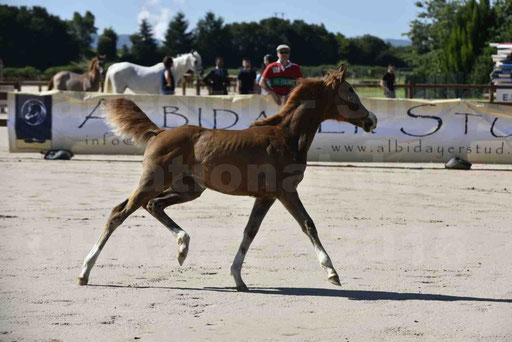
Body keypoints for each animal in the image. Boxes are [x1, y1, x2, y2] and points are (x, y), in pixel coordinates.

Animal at [79, 65, 376, 292]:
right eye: (351, 94)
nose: (372, 119)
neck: (286, 136)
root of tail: (159, 132)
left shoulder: (266, 196)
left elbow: (250, 232)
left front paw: (238, 278)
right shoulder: (286, 191)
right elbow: (308, 224)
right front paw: (332, 272)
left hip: (189, 189)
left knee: (153, 205)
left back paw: (183, 247)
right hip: (153, 181)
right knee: (119, 212)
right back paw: (85, 271)